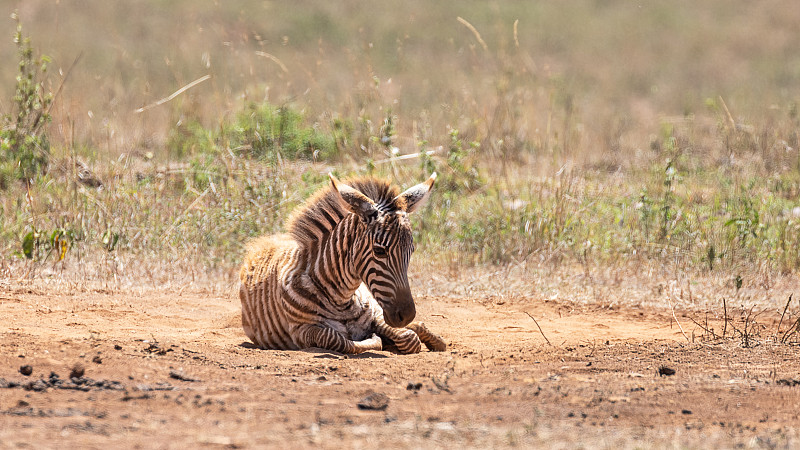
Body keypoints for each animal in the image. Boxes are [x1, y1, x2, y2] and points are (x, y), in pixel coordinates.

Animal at [238, 174, 450, 354]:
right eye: (379, 251)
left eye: (411, 251)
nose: (406, 315)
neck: (342, 299)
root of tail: (263, 243)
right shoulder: (302, 331)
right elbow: (340, 340)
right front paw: (376, 340)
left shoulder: (376, 313)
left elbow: (408, 337)